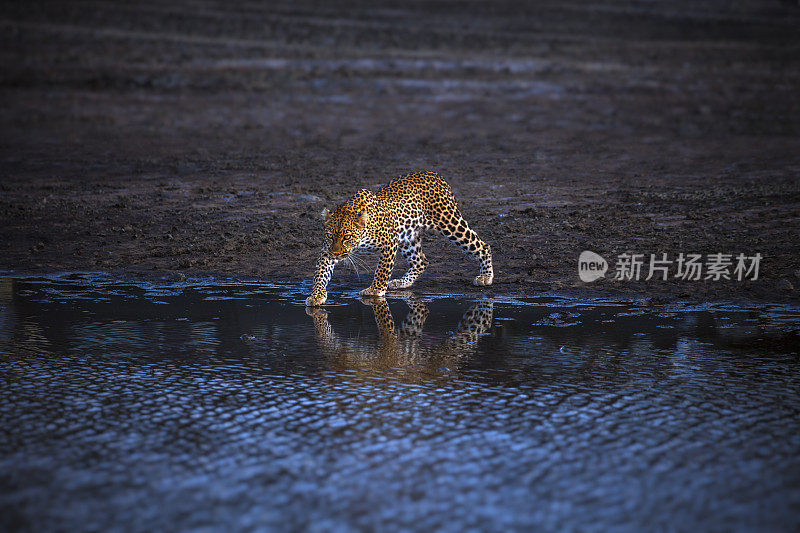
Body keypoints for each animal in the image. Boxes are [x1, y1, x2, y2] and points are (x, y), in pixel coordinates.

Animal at [306, 168, 494, 306]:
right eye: (330, 236)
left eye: (347, 237)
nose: (336, 254)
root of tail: (435, 174)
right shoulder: (327, 250)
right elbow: (320, 273)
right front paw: (316, 295)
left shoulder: (389, 242)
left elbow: (382, 270)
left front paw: (375, 290)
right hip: (408, 237)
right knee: (421, 261)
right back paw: (402, 282)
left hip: (450, 223)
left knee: (482, 245)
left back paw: (486, 276)